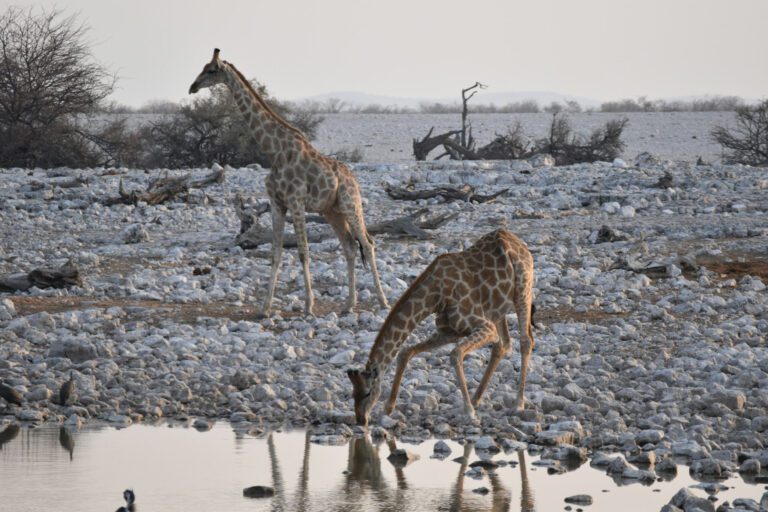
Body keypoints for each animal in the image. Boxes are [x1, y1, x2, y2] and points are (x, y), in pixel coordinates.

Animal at [189, 49, 389, 316]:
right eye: (202, 68)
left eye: (211, 70)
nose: (192, 87)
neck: (274, 151)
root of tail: (353, 179)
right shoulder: (277, 203)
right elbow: (276, 252)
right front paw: (265, 308)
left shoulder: (296, 201)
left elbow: (303, 251)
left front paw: (309, 306)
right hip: (332, 211)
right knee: (349, 246)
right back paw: (348, 305)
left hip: (350, 204)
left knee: (368, 243)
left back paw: (383, 302)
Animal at [347, 229, 535, 426]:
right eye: (352, 394)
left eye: (367, 393)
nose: (360, 420)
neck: (435, 297)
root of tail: (518, 242)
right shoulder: (449, 331)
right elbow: (405, 352)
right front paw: (388, 408)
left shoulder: (484, 326)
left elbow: (455, 354)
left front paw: (469, 412)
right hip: (498, 309)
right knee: (503, 344)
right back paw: (476, 399)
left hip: (523, 291)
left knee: (525, 341)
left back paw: (518, 403)